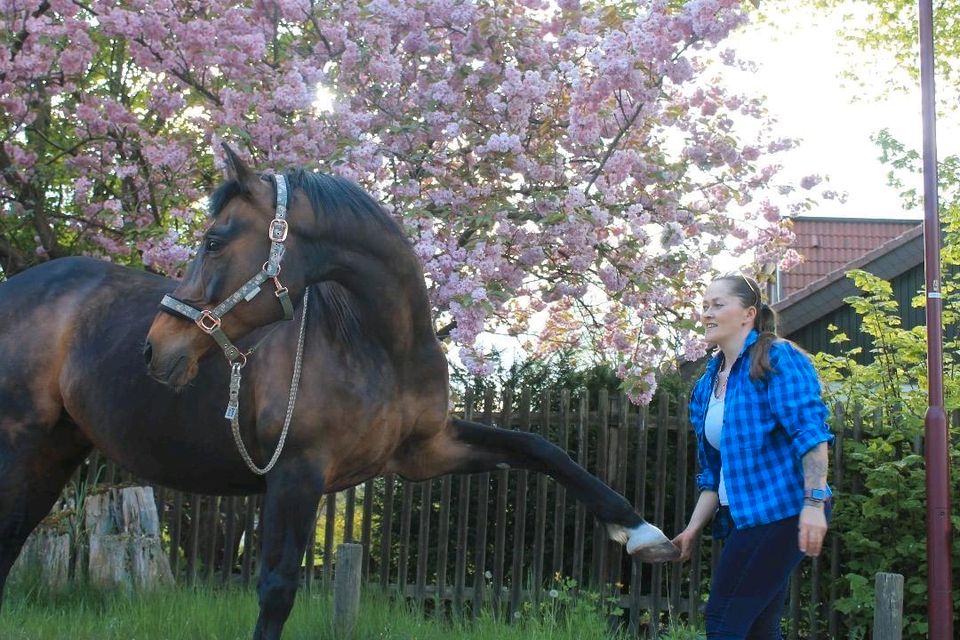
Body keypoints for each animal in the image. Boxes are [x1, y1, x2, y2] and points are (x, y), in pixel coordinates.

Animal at [0, 146, 676, 640]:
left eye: (216, 240)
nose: (155, 350)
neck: (377, 346)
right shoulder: (297, 473)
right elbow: (276, 589)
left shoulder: (425, 452)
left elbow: (543, 448)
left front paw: (640, 532)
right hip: (24, 449)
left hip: (56, 453)